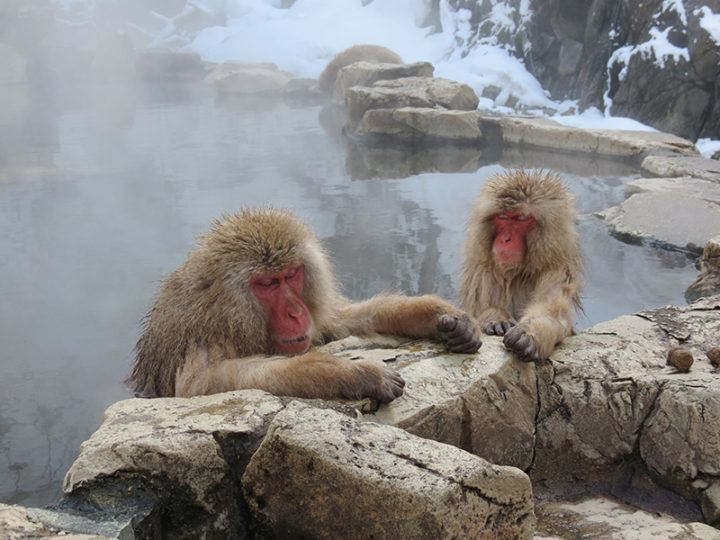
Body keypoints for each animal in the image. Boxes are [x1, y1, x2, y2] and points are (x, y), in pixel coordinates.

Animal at [130, 209, 480, 402]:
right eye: (268, 284)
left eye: (290, 276)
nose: (296, 312)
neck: (225, 310)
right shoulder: (202, 336)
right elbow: (207, 384)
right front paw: (353, 373)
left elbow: (346, 319)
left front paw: (441, 316)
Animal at [458, 170, 584, 362]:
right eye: (503, 217)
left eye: (521, 218)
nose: (505, 239)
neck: (521, 272)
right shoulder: (484, 269)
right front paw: (495, 317)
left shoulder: (558, 269)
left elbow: (553, 313)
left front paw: (531, 333)